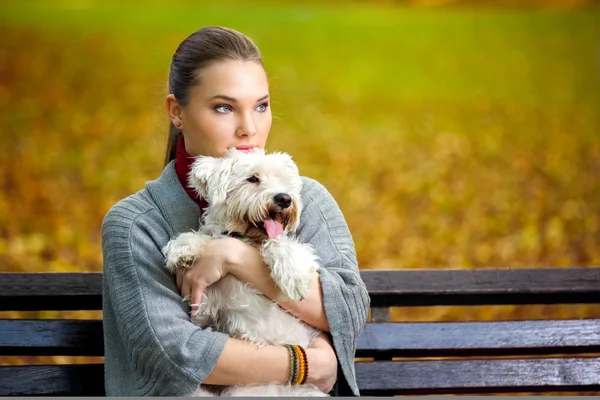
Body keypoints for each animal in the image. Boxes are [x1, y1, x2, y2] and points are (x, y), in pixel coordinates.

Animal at [162, 148, 326, 396]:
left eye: (282, 180)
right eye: (252, 179)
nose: (284, 198)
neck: (245, 238)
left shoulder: (304, 256)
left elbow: (279, 244)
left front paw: (293, 278)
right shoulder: (205, 306)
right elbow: (204, 238)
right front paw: (183, 248)